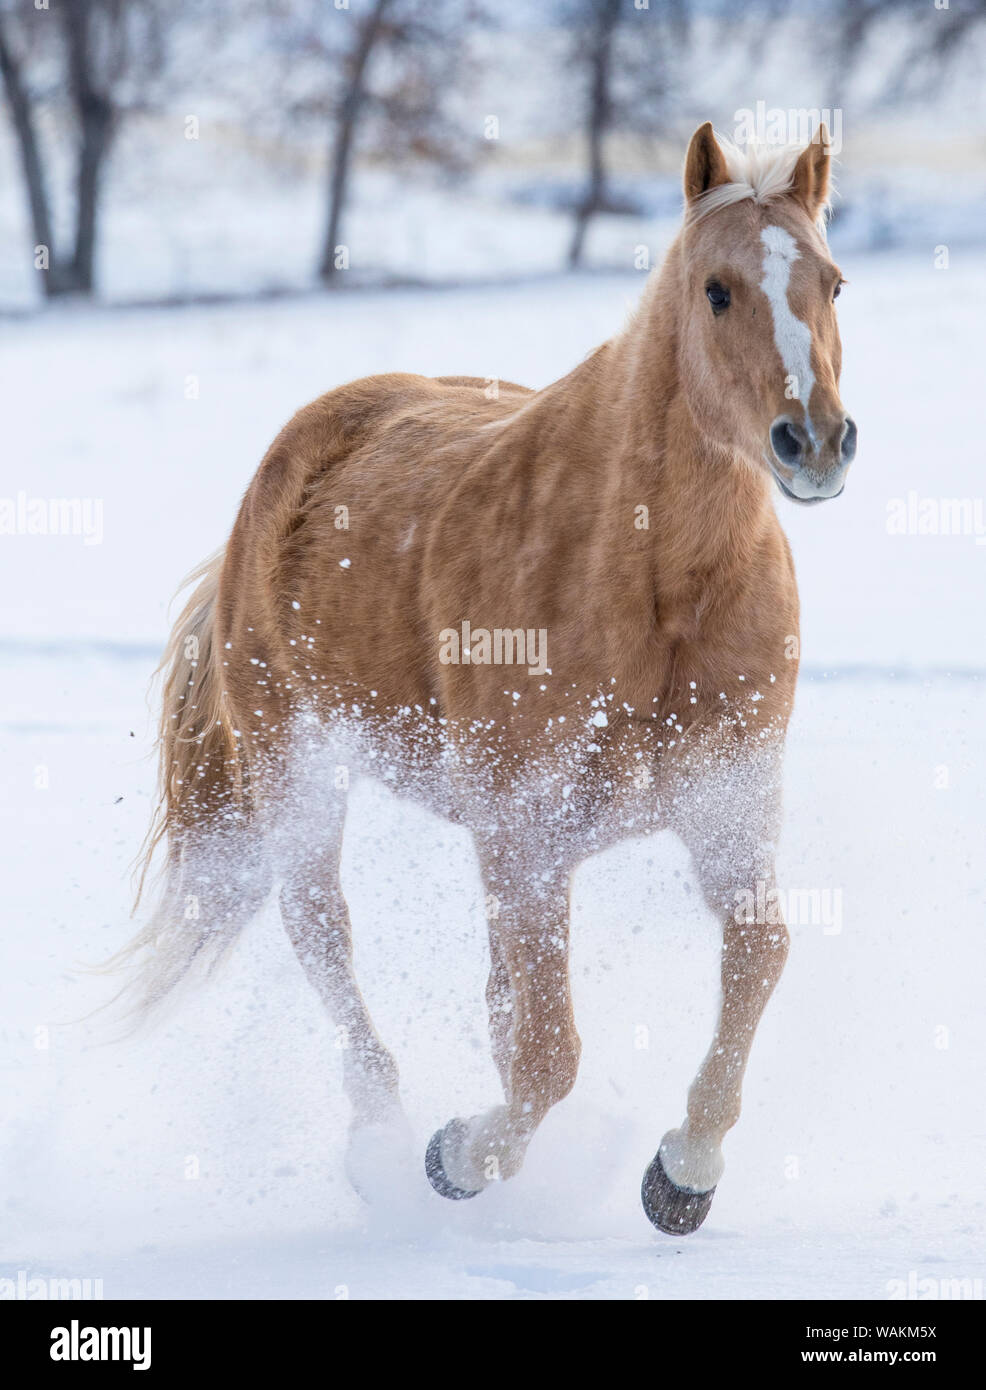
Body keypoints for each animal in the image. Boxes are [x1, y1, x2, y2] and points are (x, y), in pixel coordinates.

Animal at [126, 122, 856, 1235]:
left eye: (832, 281)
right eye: (717, 289)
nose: (812, 442)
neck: (656, 587)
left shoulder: (724, 807)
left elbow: (757, 956)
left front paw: (681, 1174)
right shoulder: (525, 835)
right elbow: (548, 1052)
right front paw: (458, 1157)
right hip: (299, 779)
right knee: (323, 937)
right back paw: (385, 1140)